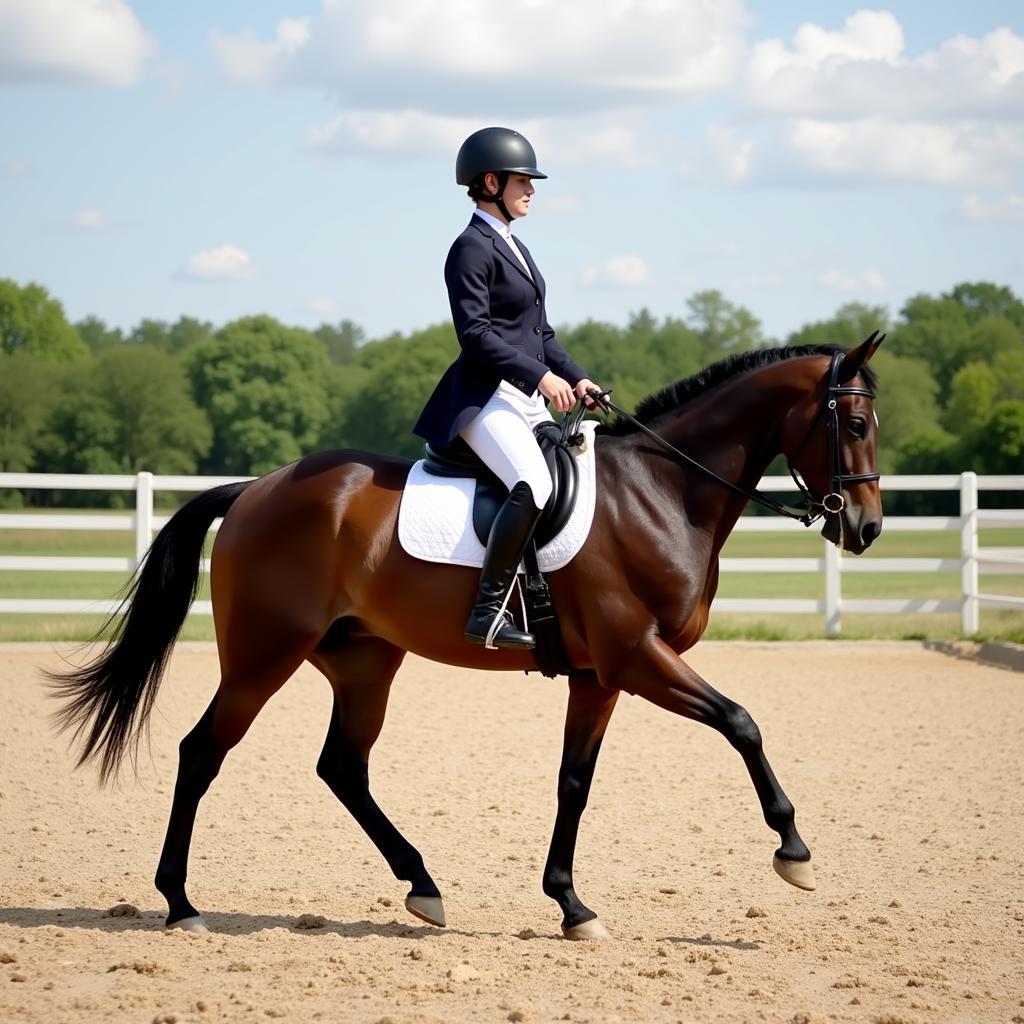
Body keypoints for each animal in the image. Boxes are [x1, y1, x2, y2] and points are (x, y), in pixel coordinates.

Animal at [49, 337, 880, 942]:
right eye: (855, 424)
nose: (866, 529)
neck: (661, 494)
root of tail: (256, 488)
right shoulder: (637, 656)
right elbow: (741, 722)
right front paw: (794, 853)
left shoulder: (599, 676)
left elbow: (573, 783)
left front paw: (572, 906)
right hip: (264, 655)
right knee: (203, 752)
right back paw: (181, 903)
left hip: (364, 662)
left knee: (342, 767)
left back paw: (423, 887)